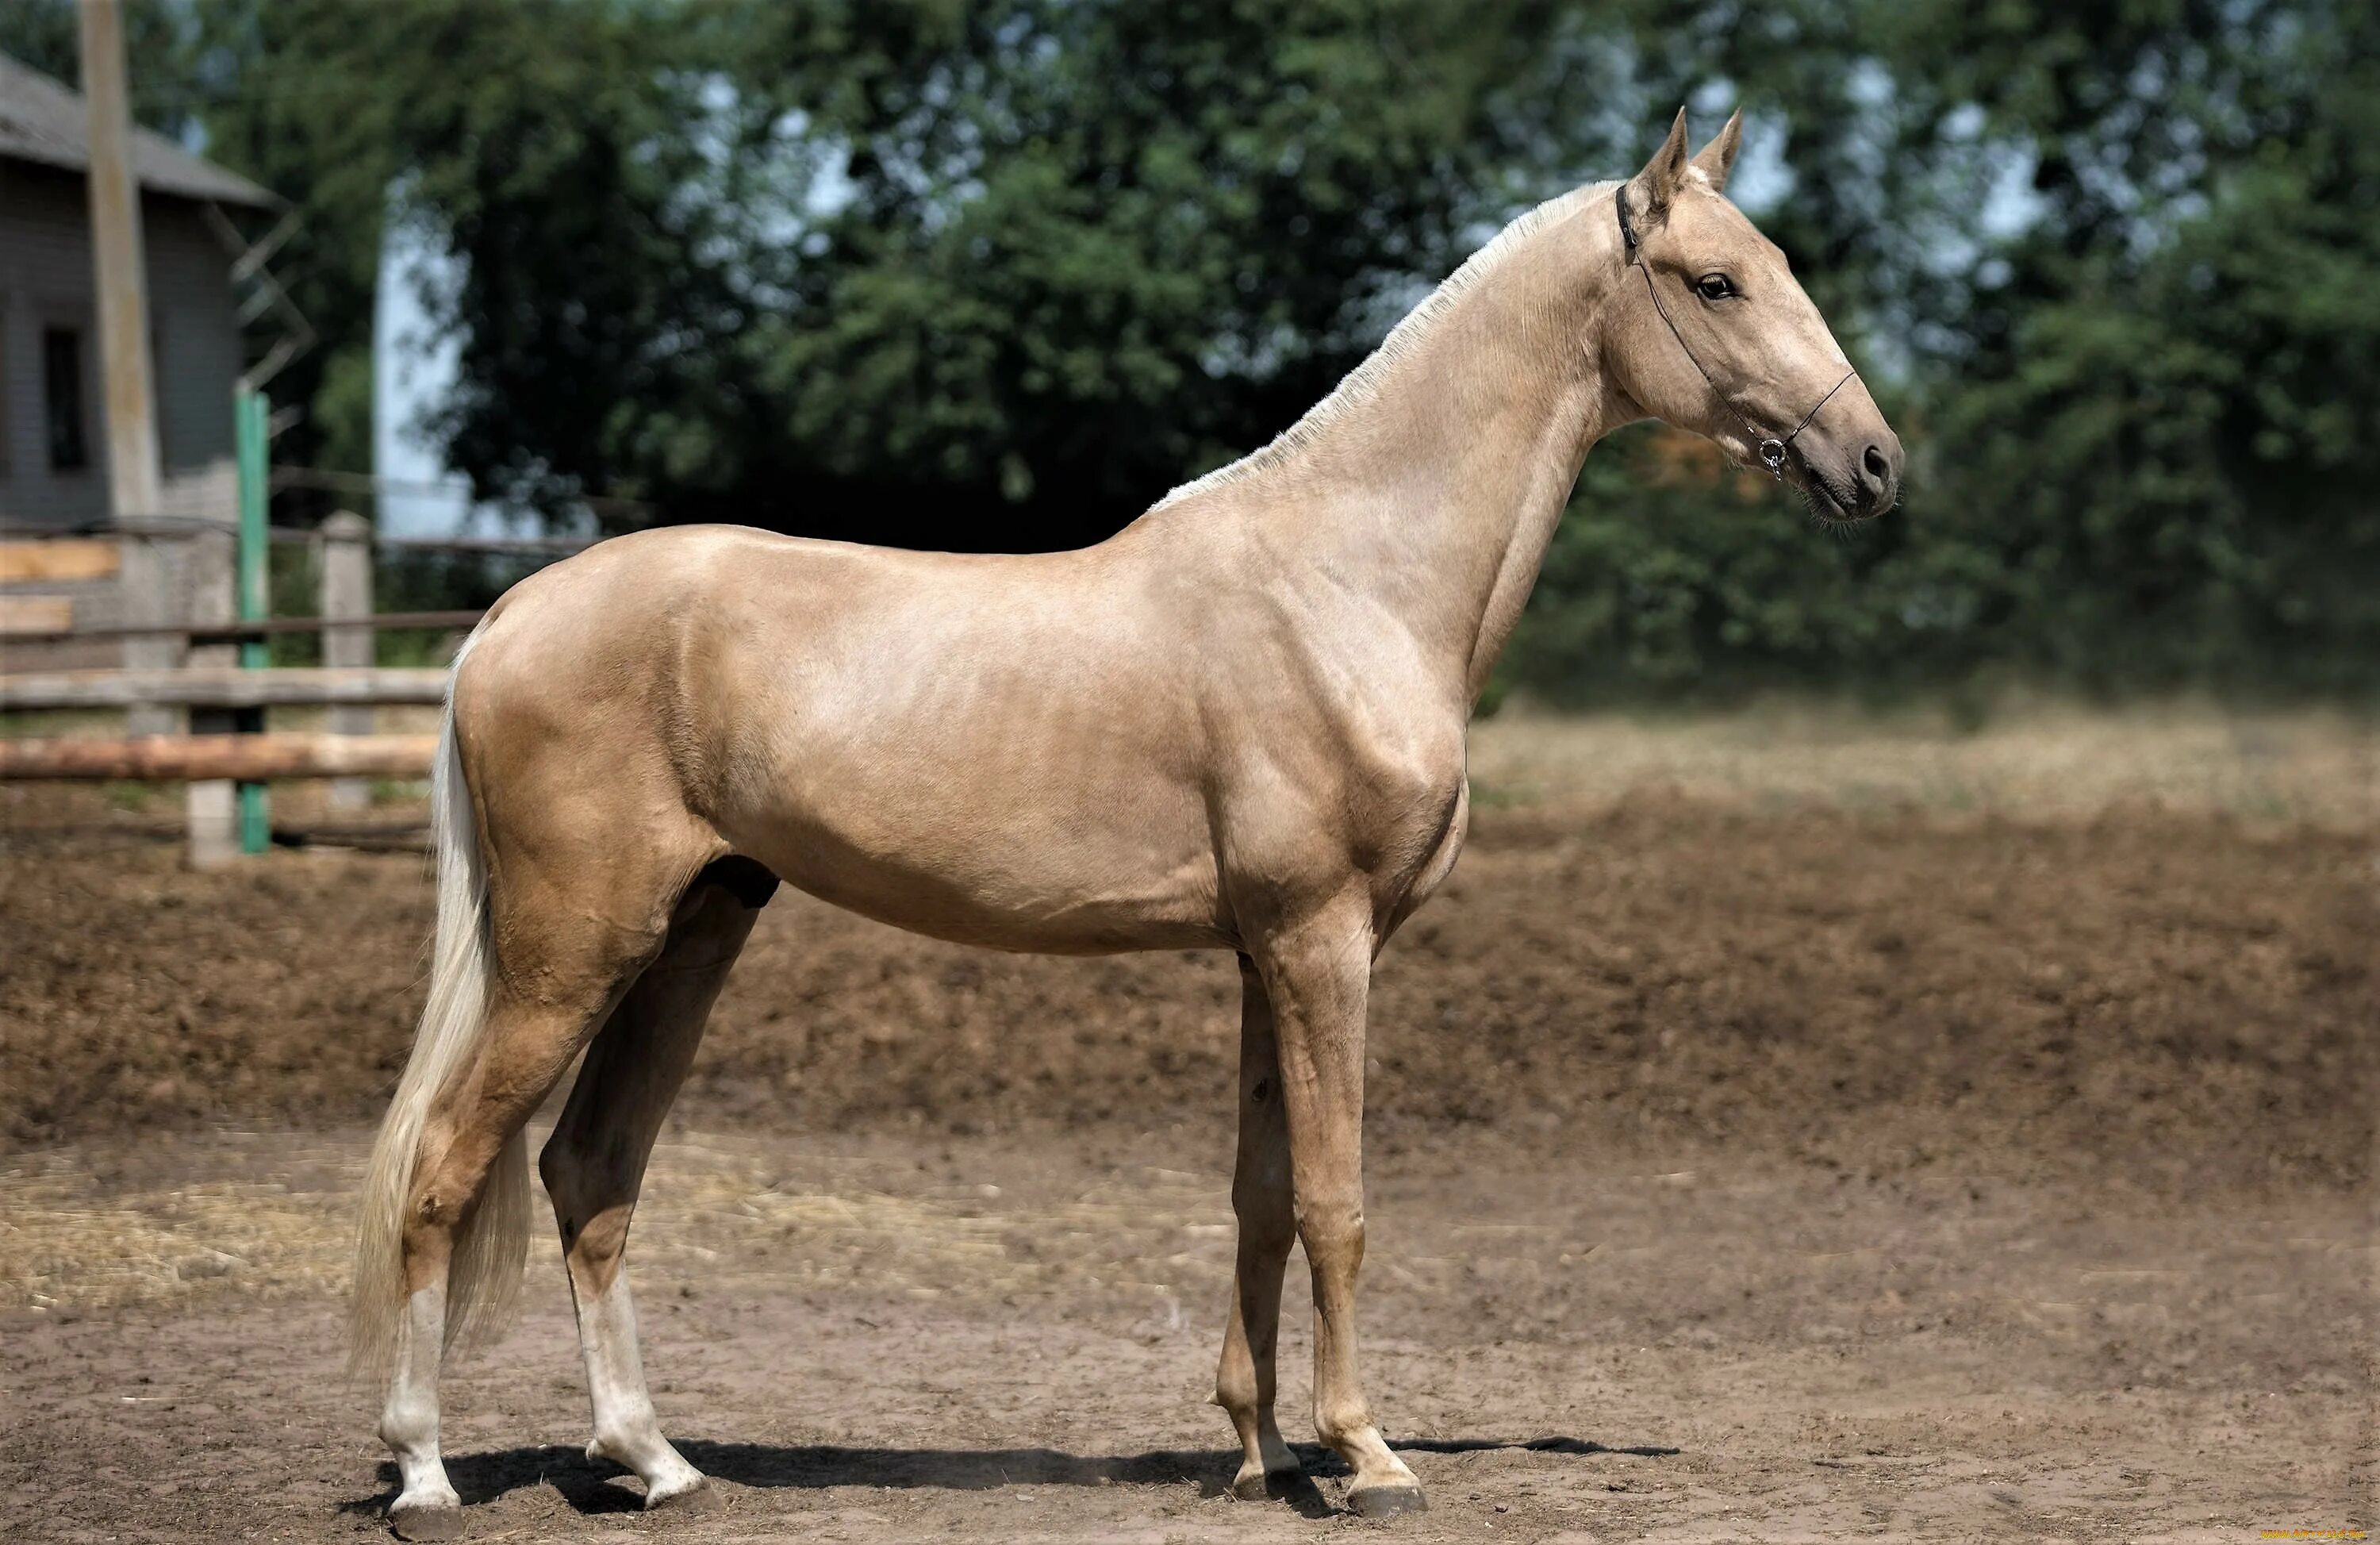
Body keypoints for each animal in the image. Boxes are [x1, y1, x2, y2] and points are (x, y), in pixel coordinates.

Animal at [352, 108, 1904, 1533]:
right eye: (1718, 282)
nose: (1876, 462)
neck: (1346, 580)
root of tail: (509, 613)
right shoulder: (1325, 943)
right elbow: (1336, 1200)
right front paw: (1368, 1456)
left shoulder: (1266, 953)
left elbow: (1260, 1195)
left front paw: (1262, 1453)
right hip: (573, 951)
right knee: (444, 1166)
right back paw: (425, 1471)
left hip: (692, 933)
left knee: (589, 1171)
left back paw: (654, 1461)